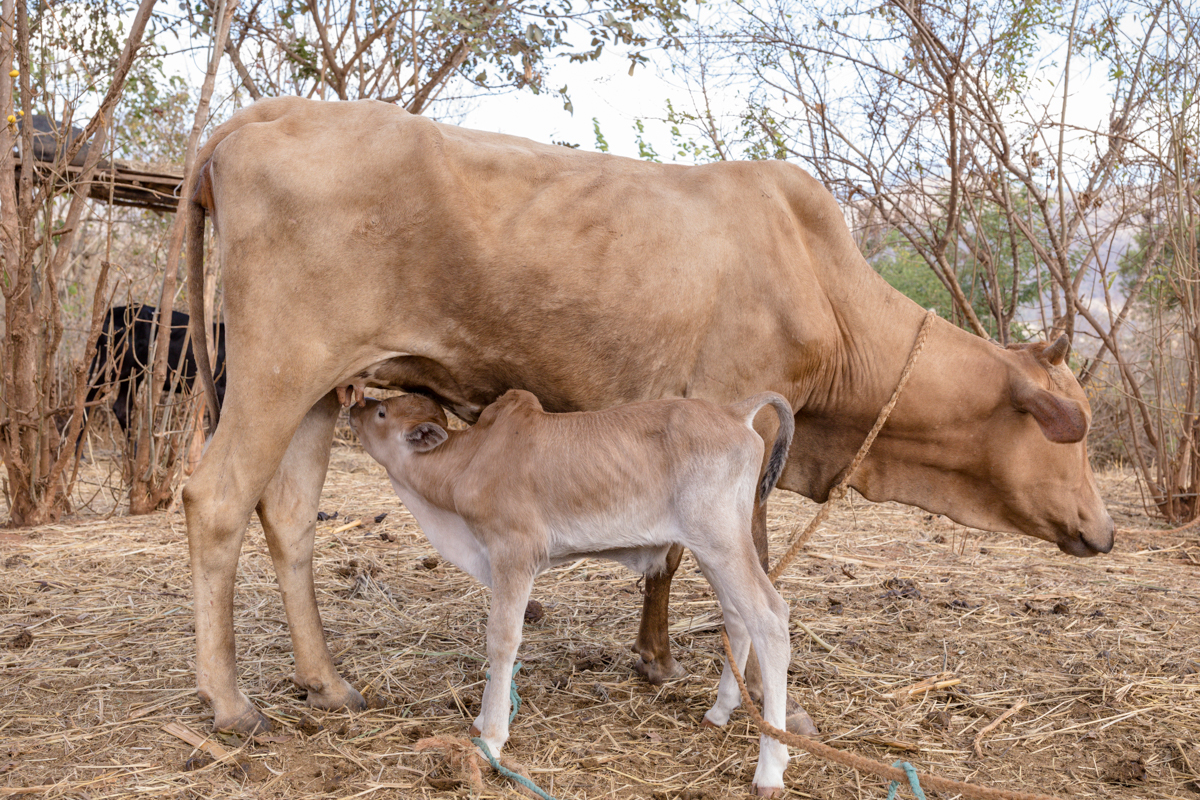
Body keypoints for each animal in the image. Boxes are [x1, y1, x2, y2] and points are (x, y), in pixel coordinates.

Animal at [182, 97, 1108, 734]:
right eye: (1076, 428)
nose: (1104, 531)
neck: (818, 275)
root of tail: (264, 112)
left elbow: (665, 554)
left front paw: (656, 660)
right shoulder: (744, 414)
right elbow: (743, 569)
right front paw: (763, 700)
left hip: (319, 391)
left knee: (289, 517)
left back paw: (327, 681)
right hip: (276, 370)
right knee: (218, 499)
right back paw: (230, 703)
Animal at [348, 388, 796, 796]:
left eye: (382, 412)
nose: (353, 406)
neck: (468, 462)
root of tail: (734, 412)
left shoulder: (514, 552)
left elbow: (501, 639)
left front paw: (491, 736)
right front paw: (484, 720)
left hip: (720, 540)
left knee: (770, 617)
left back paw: (770, 770)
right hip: (713, 548)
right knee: (738, 617)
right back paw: (719, 711)